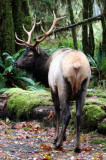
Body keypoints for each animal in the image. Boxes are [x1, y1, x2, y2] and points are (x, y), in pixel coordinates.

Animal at [14, 11, 90, 152]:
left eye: (30, 55)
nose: (15, 63)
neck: (46, 69)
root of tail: (77, 65)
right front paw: (63, 136)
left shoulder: (52, 87)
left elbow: (56, 111)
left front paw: (57, 137)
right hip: (84, 86)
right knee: (78, 115)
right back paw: (77, 147)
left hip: (63, 86)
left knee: (66, 114)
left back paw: (58, 144)